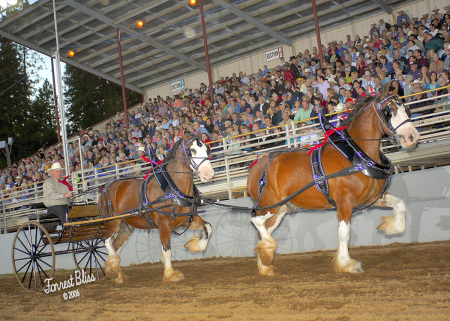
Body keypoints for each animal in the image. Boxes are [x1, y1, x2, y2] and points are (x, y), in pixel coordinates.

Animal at [100, 134, 214, 282]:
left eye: (207, 149)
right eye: (192, 150)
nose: (208, 173)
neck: (172, 188)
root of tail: (105, 188)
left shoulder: (186, 220)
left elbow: (208, 227)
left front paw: (195, 245)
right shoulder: (163, 224)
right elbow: (167, 249)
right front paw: (171, 274)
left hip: (126, 227)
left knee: (116, 246)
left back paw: (117, 274)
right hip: (113, 222)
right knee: (107, 240)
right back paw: (113, 265)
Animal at [246, 85, 418, 276]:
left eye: (406, 109)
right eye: (389, 111)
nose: (412, 136)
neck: (356, 155)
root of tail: (256, 166)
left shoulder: (373, 197)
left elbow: (401, 205)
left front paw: (390, 227)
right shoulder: (345, 201)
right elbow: (345, 232)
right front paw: (347, 263)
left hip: (280, 209)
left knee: (264, 229)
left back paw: (265, 262)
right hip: (269, 205)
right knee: (256, 221)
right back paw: (268, 249)